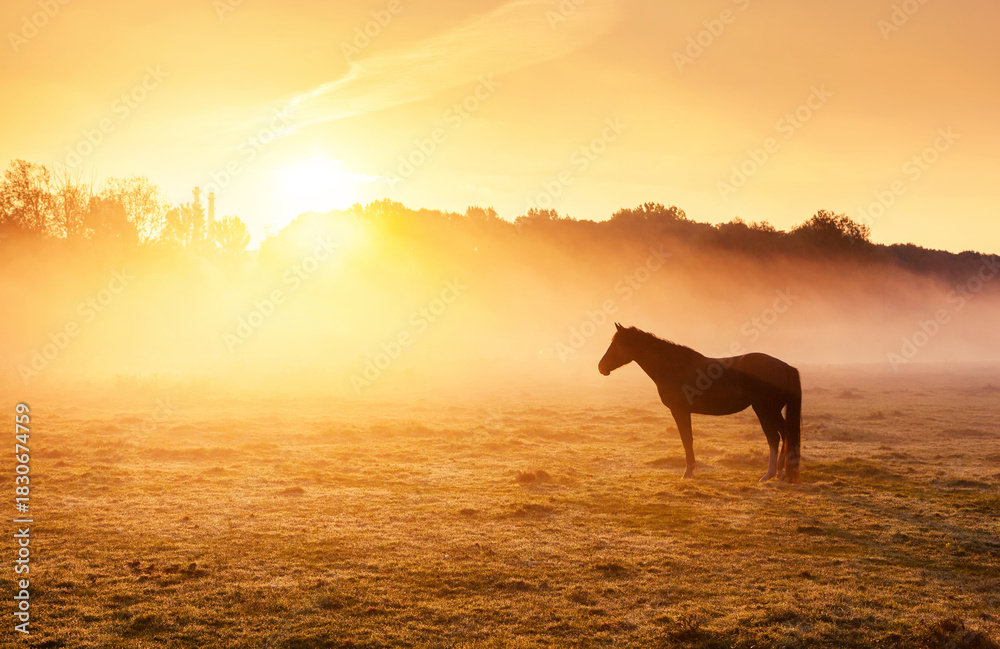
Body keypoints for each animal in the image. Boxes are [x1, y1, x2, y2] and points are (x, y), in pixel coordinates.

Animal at [598, 323, 801, 483]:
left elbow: (686, 439)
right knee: (785, 434)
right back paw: (782, 472)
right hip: (772, 411)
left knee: (774, 437)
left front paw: (688, 472)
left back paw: (769, 474)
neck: (673, 366)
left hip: (764, 410)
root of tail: (785, 367)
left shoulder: (679, 411)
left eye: (616, 344)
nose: (601, 367)